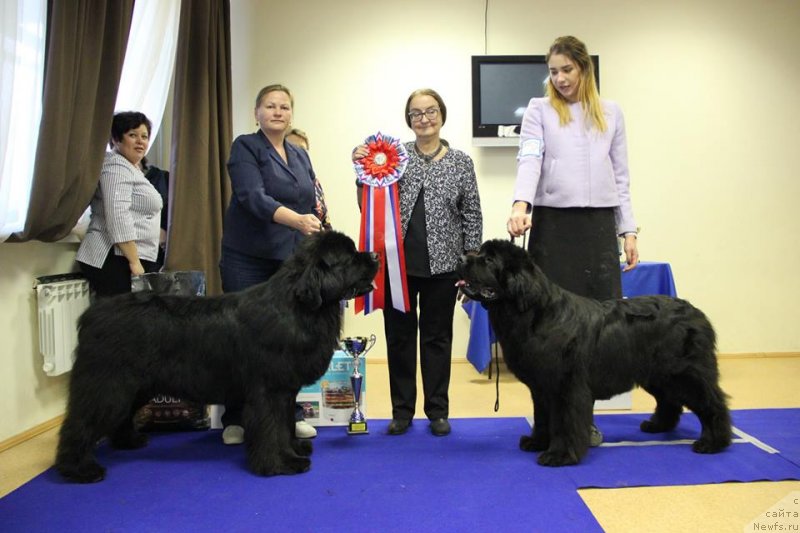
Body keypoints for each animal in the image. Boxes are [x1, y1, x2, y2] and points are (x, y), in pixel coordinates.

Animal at [57, 230, 380, 482]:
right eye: (349, 256)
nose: (376, 255)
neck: (299, 308)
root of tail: (93, 314)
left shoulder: (285, 390)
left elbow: (286, 423)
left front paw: (294, 450)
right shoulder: (269, 391)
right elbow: (272, 427)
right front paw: (280, 464)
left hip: (135, 386)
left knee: (119, 415)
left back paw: (128, 441)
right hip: (108, 384)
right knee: (79, 422)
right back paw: (78, 469)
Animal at [456, 240, 732, 466]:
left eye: (489, 260)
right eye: (479, 252)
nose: (461, 258)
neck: (534, 313)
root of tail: (697, 313)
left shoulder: (565, 386)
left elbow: (563, 421)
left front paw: (559, 455)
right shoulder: (542, 387)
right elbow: (542, 416)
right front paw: (537, 442)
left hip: (684, 373)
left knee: (713, 403)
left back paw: (714, 442)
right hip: (657, 374)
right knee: (669, 400)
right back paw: (656, 426)